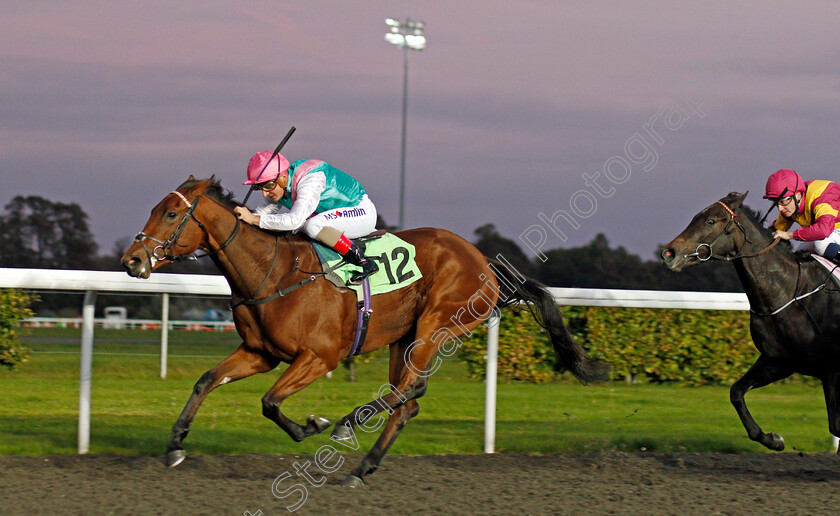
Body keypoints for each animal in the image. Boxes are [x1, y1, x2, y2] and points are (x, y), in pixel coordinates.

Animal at [121, 176, 608, 484]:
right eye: (154, 209)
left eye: (170, 214)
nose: (131, 260)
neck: (273, 273)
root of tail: (485, 262)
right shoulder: (261, 353)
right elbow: (207, 381)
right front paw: (175, 445)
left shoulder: (319, 357)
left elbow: (270, 402)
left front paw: (313, 425)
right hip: (404, 338)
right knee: (407, 402)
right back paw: (362, 469)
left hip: (437, 324)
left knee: (410, 390)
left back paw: (347, 424)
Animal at [660, 192, 840, 452]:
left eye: (711, 221)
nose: (669, 253)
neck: (790, 293)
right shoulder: (778, 362)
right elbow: (736, 392)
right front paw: (773, 439)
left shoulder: (832, 370)